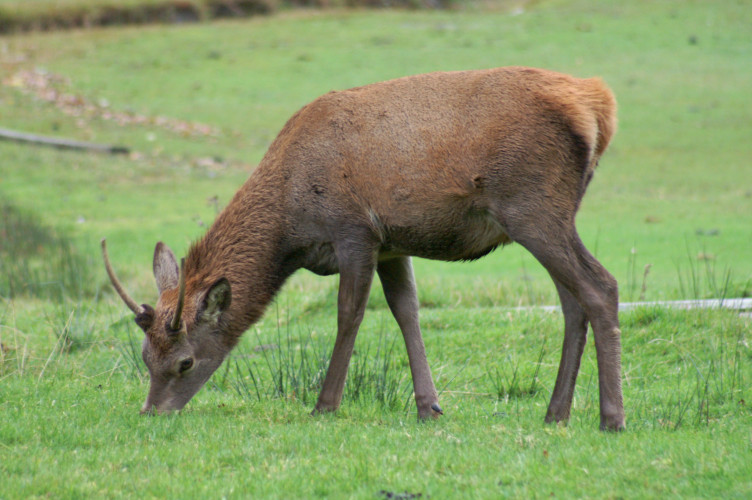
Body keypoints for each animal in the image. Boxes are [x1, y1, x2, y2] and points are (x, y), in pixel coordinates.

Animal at [102, 66, 625, 431]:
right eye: (145, 357)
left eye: (185, 362)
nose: (151, 413)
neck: (291, 224)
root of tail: (598, 105)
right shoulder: (394, 244)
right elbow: (406, 310)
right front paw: (429, 407)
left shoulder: (354, 231)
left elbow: (350, 313)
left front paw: (324, 404)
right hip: (548, 214)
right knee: (572, 302)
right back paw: (556, 413)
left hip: (532, 207)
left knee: (601, 287)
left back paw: (611, 417)